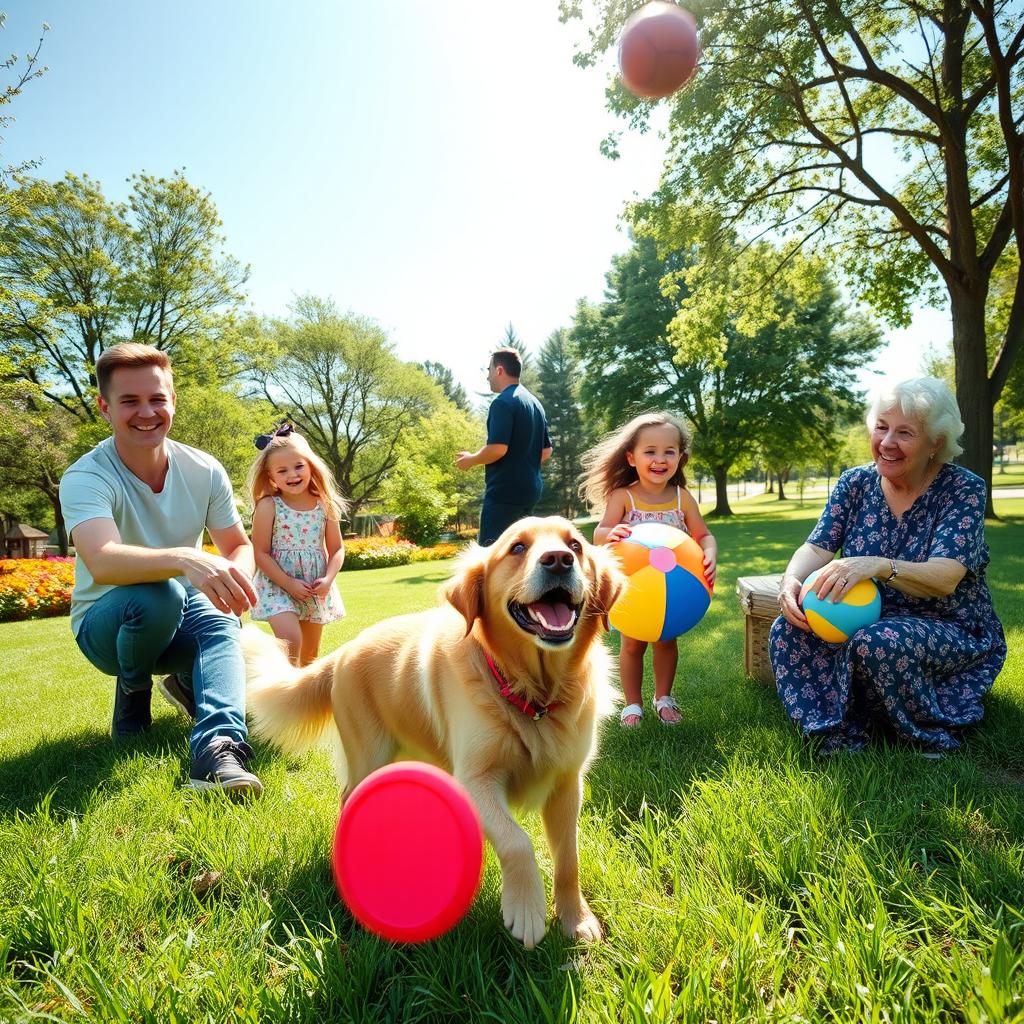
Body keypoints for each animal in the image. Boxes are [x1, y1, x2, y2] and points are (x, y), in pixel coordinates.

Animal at [242, 516, 622, 946]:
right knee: (347, 801)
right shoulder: (476, 778)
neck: (532, 692)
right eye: (517, 548)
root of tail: (341, 653)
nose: (558, 560)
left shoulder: (567, 784)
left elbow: (568, 858)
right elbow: (516, 841)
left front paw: (577, 919)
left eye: (575, 545)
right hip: (368, 757)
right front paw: (526, 911)